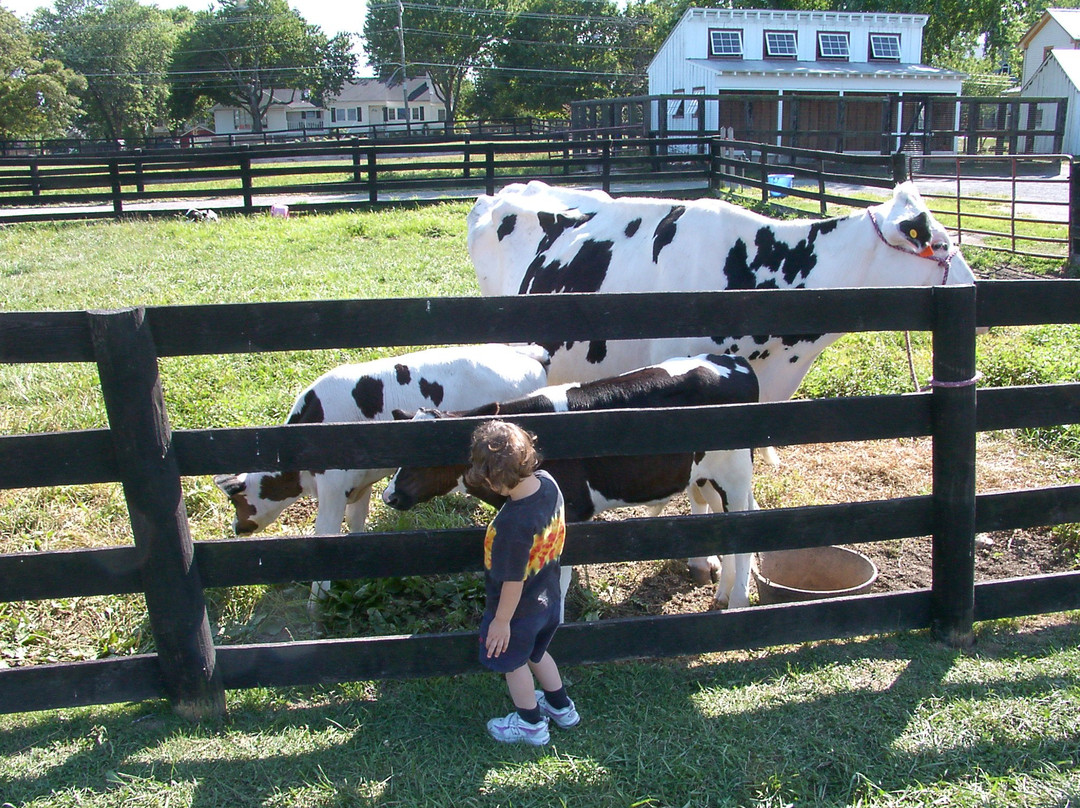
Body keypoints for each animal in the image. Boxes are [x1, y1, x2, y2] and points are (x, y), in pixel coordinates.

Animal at [213, 343, 548, 604]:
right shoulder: (358, 484)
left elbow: (325, 533)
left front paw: (317, 603)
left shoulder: (332, 485)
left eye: (235, 500)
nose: (235, 527)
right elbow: (356, 524)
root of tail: (526, 354)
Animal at [384, 356, 764, 609]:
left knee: (745, 536)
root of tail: (732, 361)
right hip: (707, 477)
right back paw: (724, 592)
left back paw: (737, 602)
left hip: (734, 474)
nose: (390, 496)